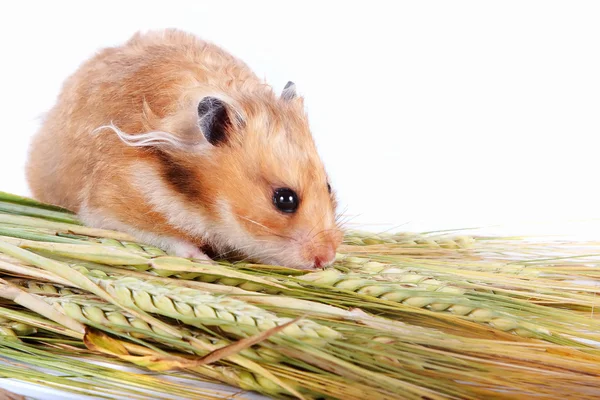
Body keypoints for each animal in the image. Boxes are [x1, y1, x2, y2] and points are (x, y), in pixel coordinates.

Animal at [25, 28, 342, 268]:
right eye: (284, 199)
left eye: (328, 186)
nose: (327, 259)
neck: (206, 204)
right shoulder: (111, 203)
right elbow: (167, 237)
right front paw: (204, 260)